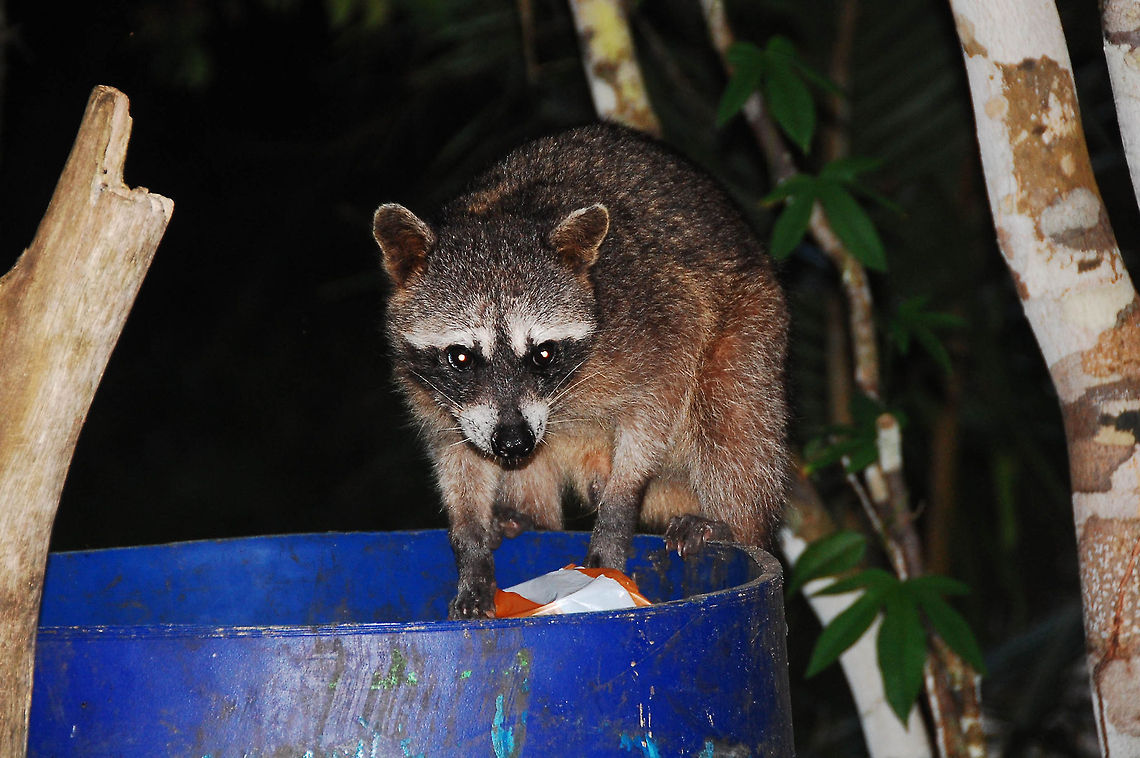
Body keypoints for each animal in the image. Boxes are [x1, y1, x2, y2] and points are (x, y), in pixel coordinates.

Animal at [373, 123, 788, 619]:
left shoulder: (660, 320)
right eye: (461, 357)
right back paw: (530, 515)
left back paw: (731, 522)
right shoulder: (436, 394)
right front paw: (470, 546)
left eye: (543, 354)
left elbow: (659, 405)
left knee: (731, 414)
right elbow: (457, 454)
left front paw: (616, 517)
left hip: (752, 326)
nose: (513, 440)